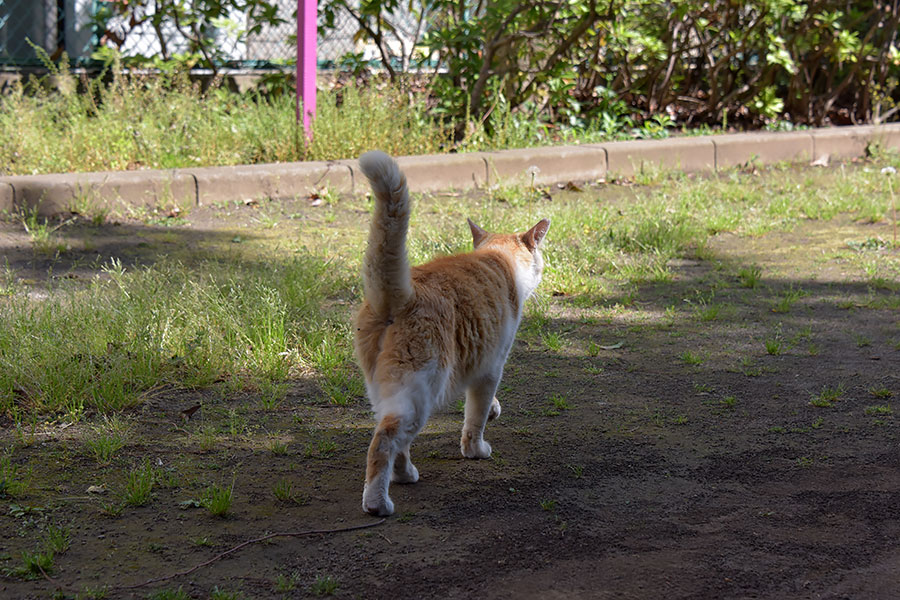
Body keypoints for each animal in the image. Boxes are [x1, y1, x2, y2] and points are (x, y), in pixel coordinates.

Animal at [352, 150, 548, 516]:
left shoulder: (480, 362)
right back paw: (378, 502)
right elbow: (475, 418)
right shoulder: (492, 365)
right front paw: (476, 450)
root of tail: (403, 293)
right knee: (385, 440)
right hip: (421, 392)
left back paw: (405, 475)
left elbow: (486, 406)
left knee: (395, 440)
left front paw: (495, 410)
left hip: (383, 389)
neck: (497, 258)